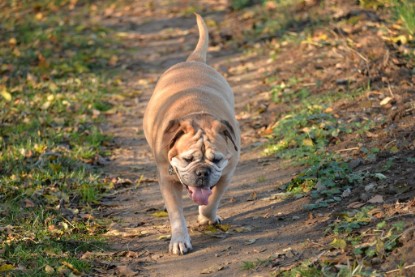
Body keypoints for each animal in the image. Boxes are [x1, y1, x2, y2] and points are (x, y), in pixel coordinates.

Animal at [143, 13, 240, 254]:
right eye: (187, 159)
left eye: (216, 160)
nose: (203, 172)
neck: (198, 115)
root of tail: (194, 60)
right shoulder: (167, 181)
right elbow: (176, 214)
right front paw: (179, 240)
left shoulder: (226, 173)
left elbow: (213, 199)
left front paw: (206, 217)